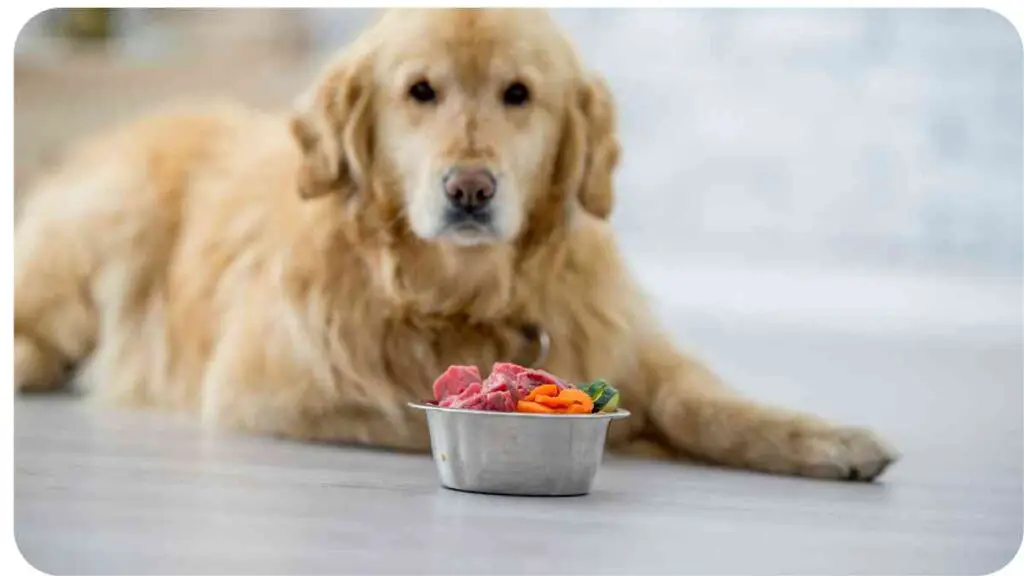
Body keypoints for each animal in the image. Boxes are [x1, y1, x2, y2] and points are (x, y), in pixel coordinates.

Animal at [14, 8, 897, 477]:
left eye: (519, 94)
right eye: (420, 92)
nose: (469, 189)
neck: (462, 293)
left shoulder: (620, 336)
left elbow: (701, 398)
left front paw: (827, 437)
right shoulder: (270, 388)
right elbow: (414, 414)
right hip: (112, 225)